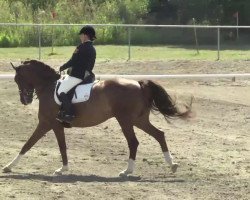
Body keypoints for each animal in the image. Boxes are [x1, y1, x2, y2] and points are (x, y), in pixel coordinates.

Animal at [2, 59, 191, 177]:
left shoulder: (48, 123)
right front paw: (63, 169)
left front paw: (9, 166)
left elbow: (31, 144)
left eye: (18, 79)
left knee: (133, 142)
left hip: (125, 120)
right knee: (159, 134)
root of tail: (138, 84)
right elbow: (52, 146)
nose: (25, 100)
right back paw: (172, 165)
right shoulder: (53, 125)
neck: (48, 87)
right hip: (139, 120)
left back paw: (127, 171)